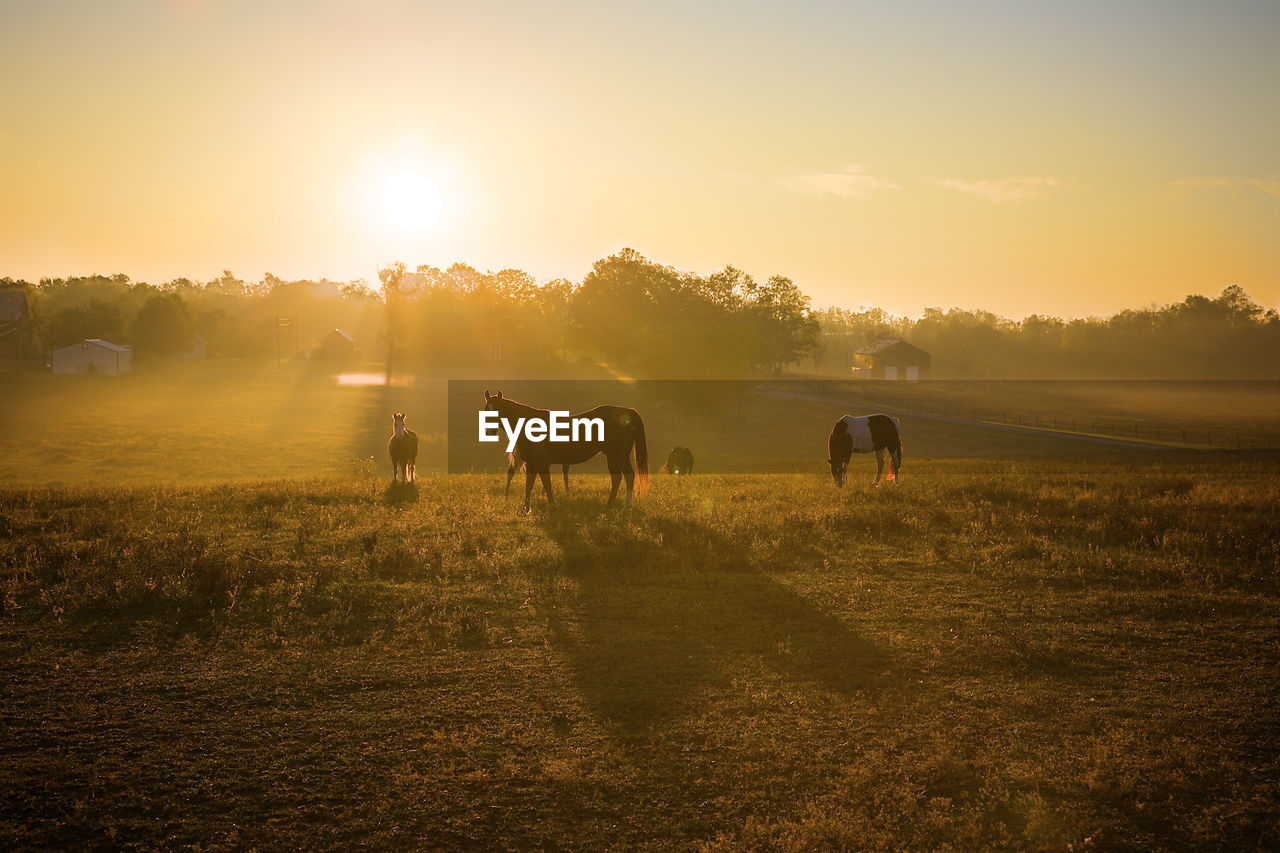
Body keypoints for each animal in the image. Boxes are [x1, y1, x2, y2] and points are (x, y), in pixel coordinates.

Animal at [483, 386, 655, 512]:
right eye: (485, 409)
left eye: (497, 410)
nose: (489, 432)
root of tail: (627, 411)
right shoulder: (532, 464)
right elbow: (529, 485)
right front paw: (525, 510)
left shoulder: (541, 464)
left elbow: (547, 485)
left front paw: (552, 507)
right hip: (618, 456)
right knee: (624, 477)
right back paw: (616, 507)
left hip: (616, 456)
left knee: (622, 477)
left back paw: (621, 508)